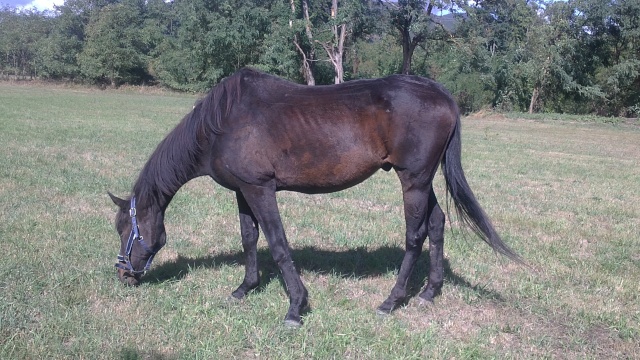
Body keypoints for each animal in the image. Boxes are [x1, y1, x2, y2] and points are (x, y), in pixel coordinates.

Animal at [109, 67, 520, 326]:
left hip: (414, 181)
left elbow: (277, 244)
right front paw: (245, 288)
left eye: (124, 229)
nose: (123, 275)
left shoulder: (260, 189)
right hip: (423, 180)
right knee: (436, 224)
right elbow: (249, 238)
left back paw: (391, 300)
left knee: (415, 236)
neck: (222, 122)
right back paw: (429, 292)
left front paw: (295, 307)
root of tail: (442, 94)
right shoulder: (243, 191)